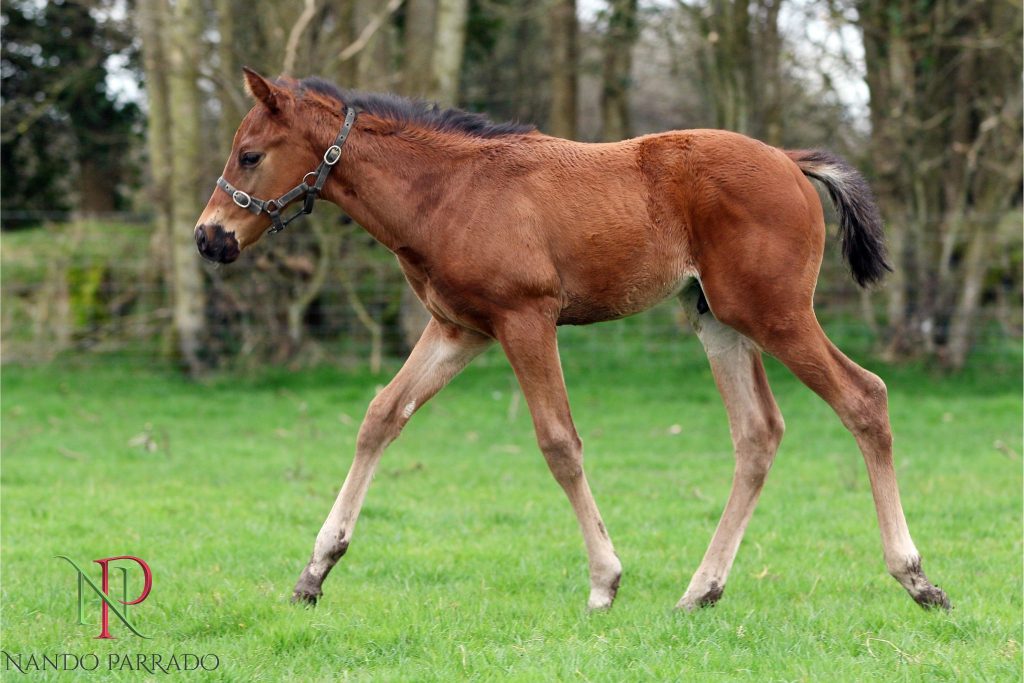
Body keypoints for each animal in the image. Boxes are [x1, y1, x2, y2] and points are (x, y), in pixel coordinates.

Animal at [195, 69, 946, 610]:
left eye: (250, 154)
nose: (209, 238)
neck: (449, 189)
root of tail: (791, 162)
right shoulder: (459, 328)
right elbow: (382, 415)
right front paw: (314, 571)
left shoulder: (525, 319)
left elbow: (558, 441)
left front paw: (604, 581)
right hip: (718, 320)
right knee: (759, 432)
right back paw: (700, 590)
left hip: (775, 312)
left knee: (864, 397)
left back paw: (916, 577)